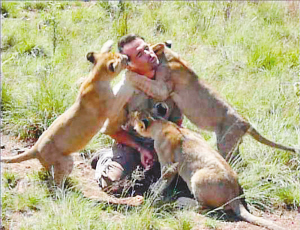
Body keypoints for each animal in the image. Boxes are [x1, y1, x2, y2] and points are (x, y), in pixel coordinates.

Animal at [125, 42, 298, 160]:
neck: (168, 56)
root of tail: (246, 122)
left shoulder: (163, 88)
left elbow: (143, 80)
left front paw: (129, 72)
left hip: (225, 142)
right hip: (232, 143)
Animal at [131, 110, 284, 229]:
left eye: (136, 117)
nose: (131, 119)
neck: (163, 124)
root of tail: (233, 194)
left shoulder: (169, 165)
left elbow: (163, 180)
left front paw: (154, 189)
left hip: (197, 178)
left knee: (205, 208)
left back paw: (181, 201)